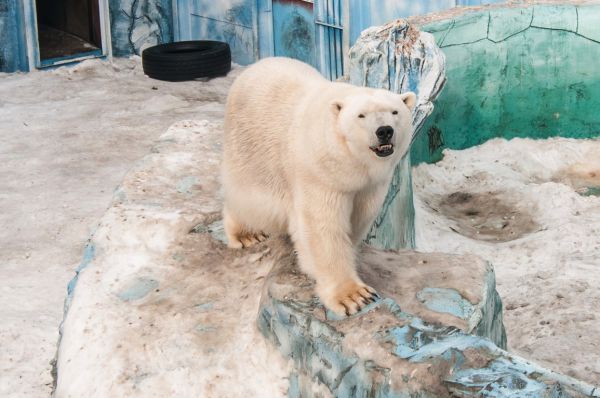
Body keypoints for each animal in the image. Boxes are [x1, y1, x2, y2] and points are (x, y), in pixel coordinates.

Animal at [223, 56, 414, 318]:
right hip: (251, 146)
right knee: (246, 192)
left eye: (395, 111)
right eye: (361, 116)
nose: (384, 131)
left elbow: (359, 216)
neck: (350, 160)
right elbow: (323, 227)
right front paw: (354, 296)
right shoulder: (319, 172)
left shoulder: (370, 185)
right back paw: (246, 233)